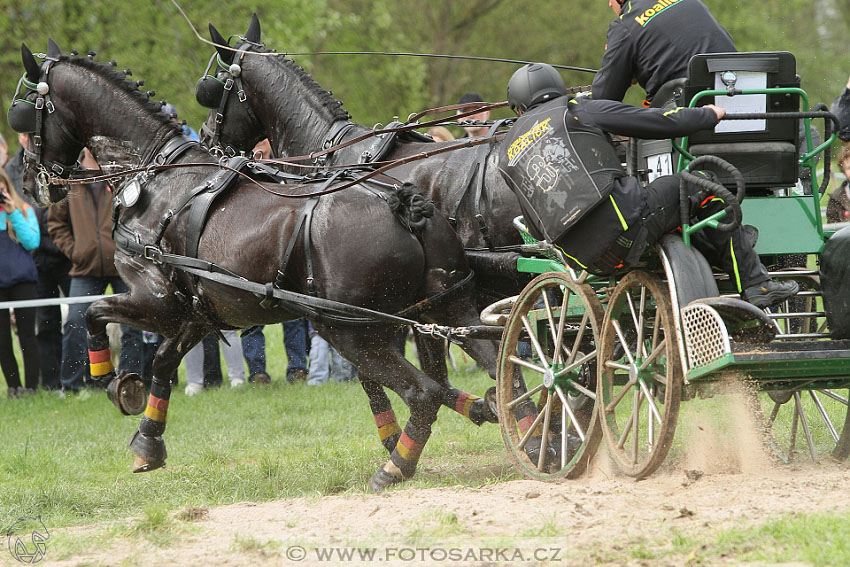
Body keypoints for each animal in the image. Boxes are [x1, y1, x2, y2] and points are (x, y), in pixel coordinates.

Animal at [11, 41, 496, 492]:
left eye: (24, 113)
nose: (29, 182)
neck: (153, 177)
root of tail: (405, 204)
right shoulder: (197, 312)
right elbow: (165, 363)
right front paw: (148, 440)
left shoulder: (156, 300)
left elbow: (94, 314)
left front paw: (112, 381)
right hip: (445, 307)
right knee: (489, 360)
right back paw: (501, 417)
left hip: (353, 329)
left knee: (423, 391)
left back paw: (396, 466)